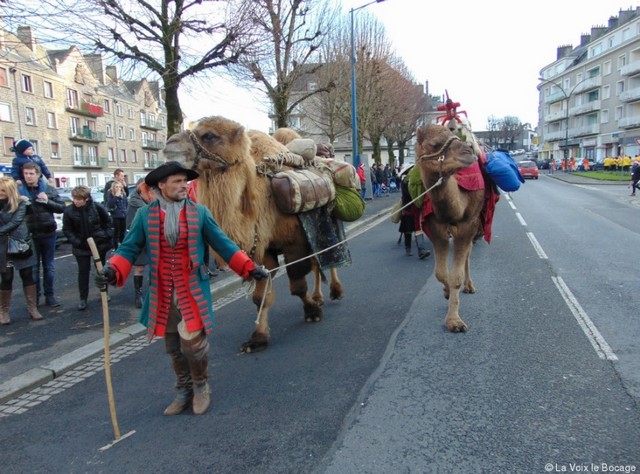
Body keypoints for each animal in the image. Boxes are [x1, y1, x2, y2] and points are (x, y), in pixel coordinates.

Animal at [162, 115, 348, 352]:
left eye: (210, 135)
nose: (169, 144)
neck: (262, 199)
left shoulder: (294, 242)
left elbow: (297, 286)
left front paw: (312, 312)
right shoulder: (263, 250)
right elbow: (261, 296)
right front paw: (258, 338)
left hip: (326, 223)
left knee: (328, 256)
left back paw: (335, 291)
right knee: (318, 263)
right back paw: (319, 296)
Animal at [416, 125, 484, 334]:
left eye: (454, 136)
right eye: (435, 144)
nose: (469, 151)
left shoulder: (468, 226)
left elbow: (456, 276)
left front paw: (454, 321)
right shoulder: (436, 229)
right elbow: (441, 273)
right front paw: (446, 293)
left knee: (468, 254)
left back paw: (470, 286)